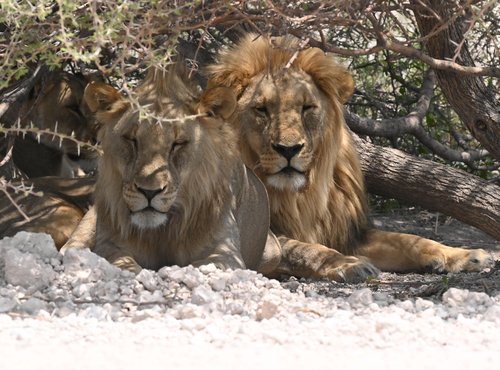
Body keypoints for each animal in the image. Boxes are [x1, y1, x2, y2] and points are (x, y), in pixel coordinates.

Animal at [62, 62, 282, 272]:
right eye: (132, 139)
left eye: (178, 143)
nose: (149, 192)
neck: (162, 232)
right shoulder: (109, 244)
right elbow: (121, 262)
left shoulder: (225, 252)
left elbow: (204, 266)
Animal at [206, 35, 492, 284]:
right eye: (261, 110)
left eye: (307, 108)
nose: (289, 150)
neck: (298, 196)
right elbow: (305, 248)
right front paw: (347, 264)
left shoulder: (350, 233)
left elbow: (410, 239)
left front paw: (467, 255)